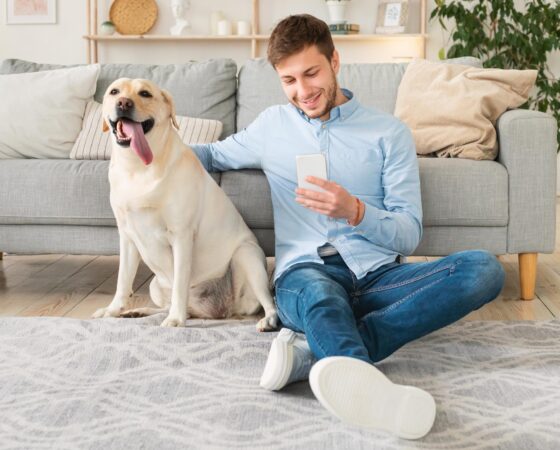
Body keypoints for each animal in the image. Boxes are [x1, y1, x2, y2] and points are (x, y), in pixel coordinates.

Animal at [93, 78, 278, 330]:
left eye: (145, 93)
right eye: (114, 91)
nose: (123, 103)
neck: (137, 168)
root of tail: (221, 311)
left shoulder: (181, 236)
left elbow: (180, 284)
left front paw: (175, 320)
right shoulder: (127, 237)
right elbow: (123, 281)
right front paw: (112, 310)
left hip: (247, 256)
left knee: (268, 302)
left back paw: (268, 320)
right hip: (155, 285)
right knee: (174, 307)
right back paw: (140, 312)